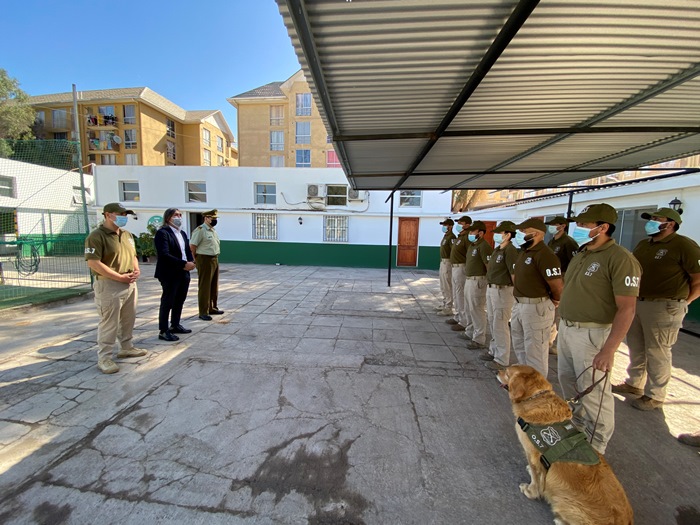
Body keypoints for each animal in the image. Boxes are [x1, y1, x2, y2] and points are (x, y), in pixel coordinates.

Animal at [498, 364, 636, 524]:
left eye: (507, 373)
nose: (498, 371)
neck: (536, 398)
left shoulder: (533, 455)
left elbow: (535, 477)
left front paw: (530, 490)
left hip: (567, 502)